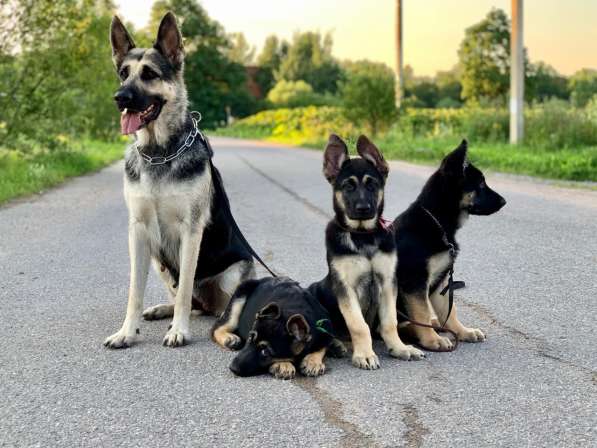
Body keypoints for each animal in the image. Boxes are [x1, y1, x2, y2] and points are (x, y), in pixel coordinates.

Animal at [104, 14, 254, 348]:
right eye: (123, 74)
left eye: (149, 74)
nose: (120, 98)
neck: (159, 153)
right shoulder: (139, 231)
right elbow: (135, 291)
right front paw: (126, 331)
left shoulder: (191, 230)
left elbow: (186, 288)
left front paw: (179, 331)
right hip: (159, 260)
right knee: (194, 304)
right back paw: (162, 310)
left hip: (233, 273)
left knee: (214, 306)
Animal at [308, 134, 424, 372]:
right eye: (348, 186)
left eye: (372, 185)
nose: (363, 209)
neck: (363, 236)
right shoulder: (345, 287)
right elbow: (358, 324)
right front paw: (365, 354)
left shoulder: (388, 282)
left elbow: (390, 322)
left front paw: (399, 348)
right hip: (314, 292)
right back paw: (328, 349)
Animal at [394, 140, 506, 350]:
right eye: (480, 184)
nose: (504, 201)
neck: (438, 222)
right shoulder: (415, 282)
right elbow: (421, 312)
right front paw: (432, 340)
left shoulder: (443, 281)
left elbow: (450, 309)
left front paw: (463, 331)